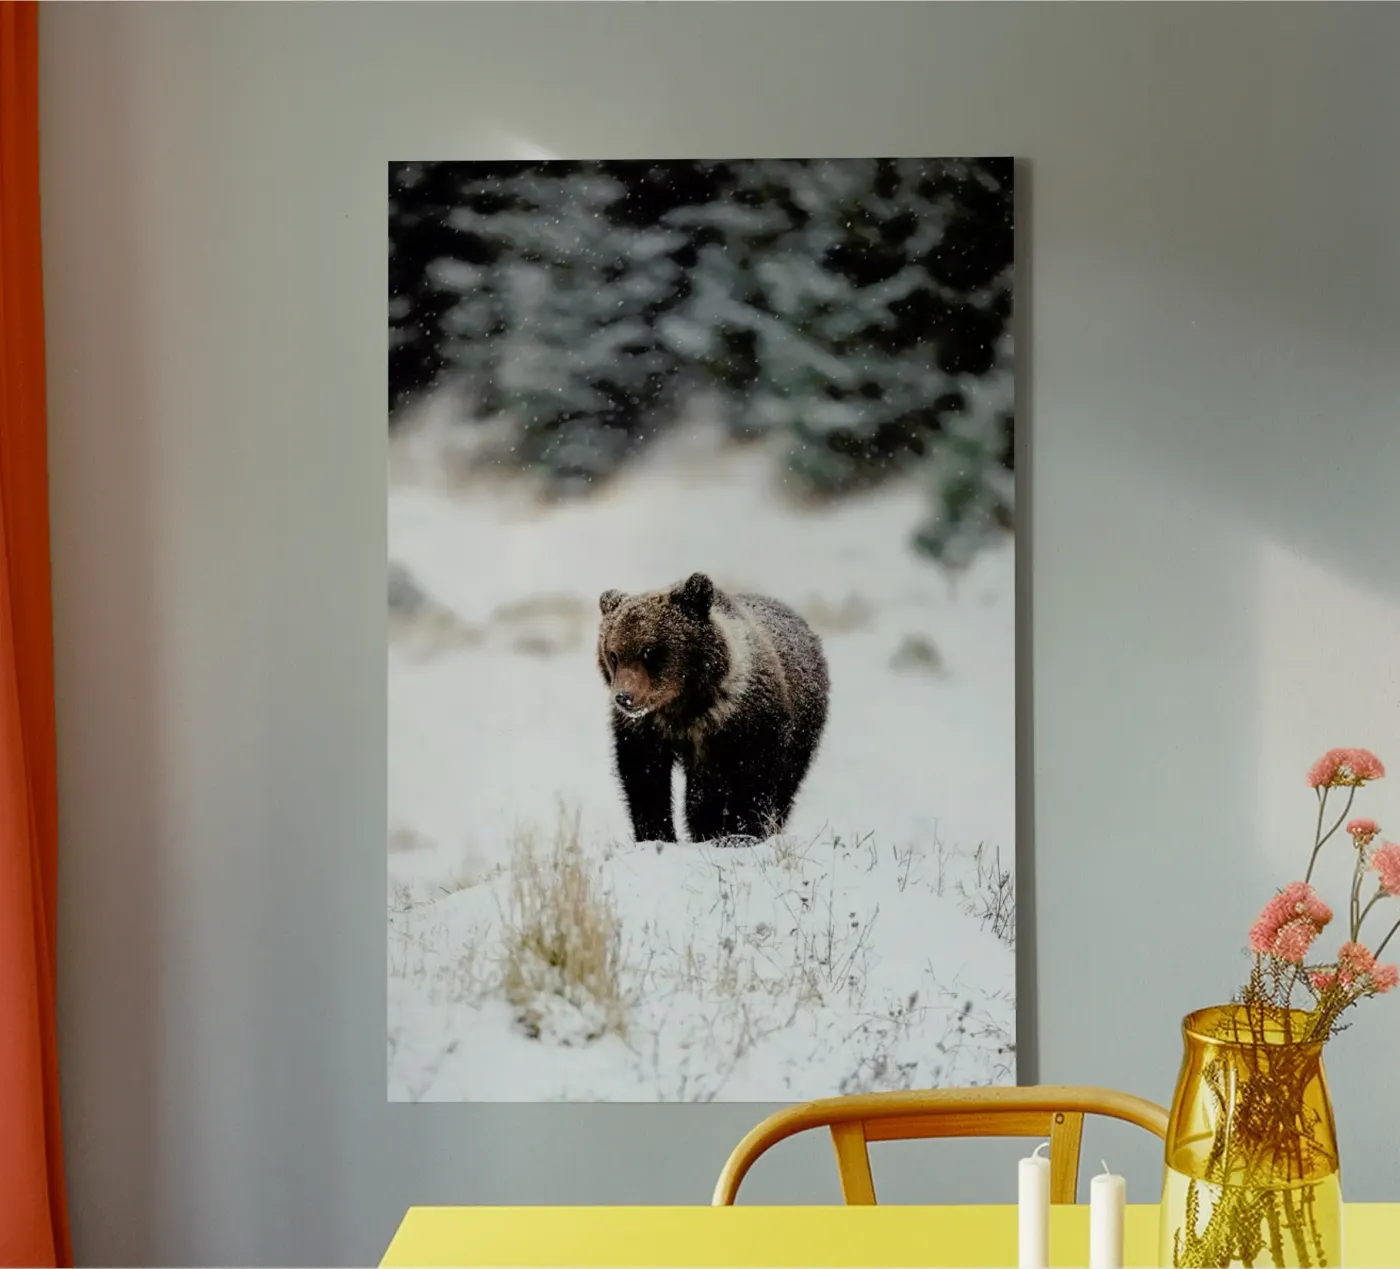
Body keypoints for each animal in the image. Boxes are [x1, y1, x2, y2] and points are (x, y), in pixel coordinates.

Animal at [595, 571, 829, 846]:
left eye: (649, 651)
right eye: (613, 654)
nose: (624, 697)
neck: (684, 707)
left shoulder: (746, 723)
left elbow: (752, 779)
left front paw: (742, 833)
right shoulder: (646, 730)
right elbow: (645, 779)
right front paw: (657, 835)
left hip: (803, 729)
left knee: (787, 783)